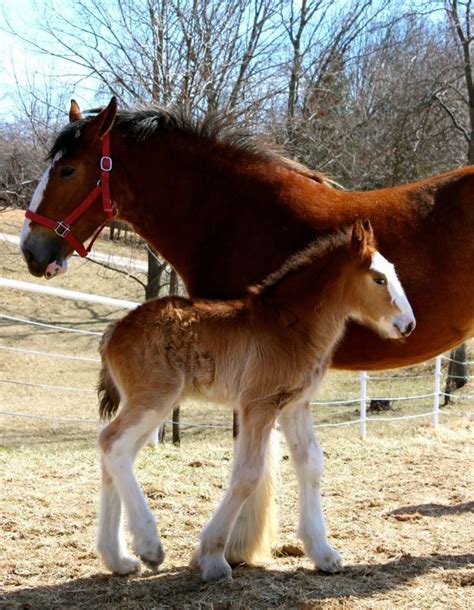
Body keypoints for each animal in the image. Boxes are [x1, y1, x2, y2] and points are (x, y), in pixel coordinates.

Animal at [97, 222, 414, 580]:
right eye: (379, 278)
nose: (408, 325)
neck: (290, 326)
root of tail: (113, 331)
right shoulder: (258, 403)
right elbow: (248, 473)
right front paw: (213, 557)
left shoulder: (294, 405)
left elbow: (311, 463)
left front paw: (323, 553)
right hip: (155, 398)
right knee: (112, 443)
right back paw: (149, 545)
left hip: (149, 403)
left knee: (115, 454)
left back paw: (118, 559)